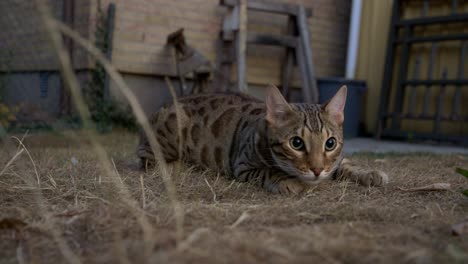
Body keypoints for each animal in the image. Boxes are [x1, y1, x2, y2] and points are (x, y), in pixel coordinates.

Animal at [137, 85, 390, 195]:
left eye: (330, 143)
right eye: (296, 143)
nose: (317, 170)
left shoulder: (335, 162)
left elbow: (346, 165)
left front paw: (370, 173)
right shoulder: (243, 165)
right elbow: (269, 172)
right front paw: (290, 182)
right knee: (147, 161)